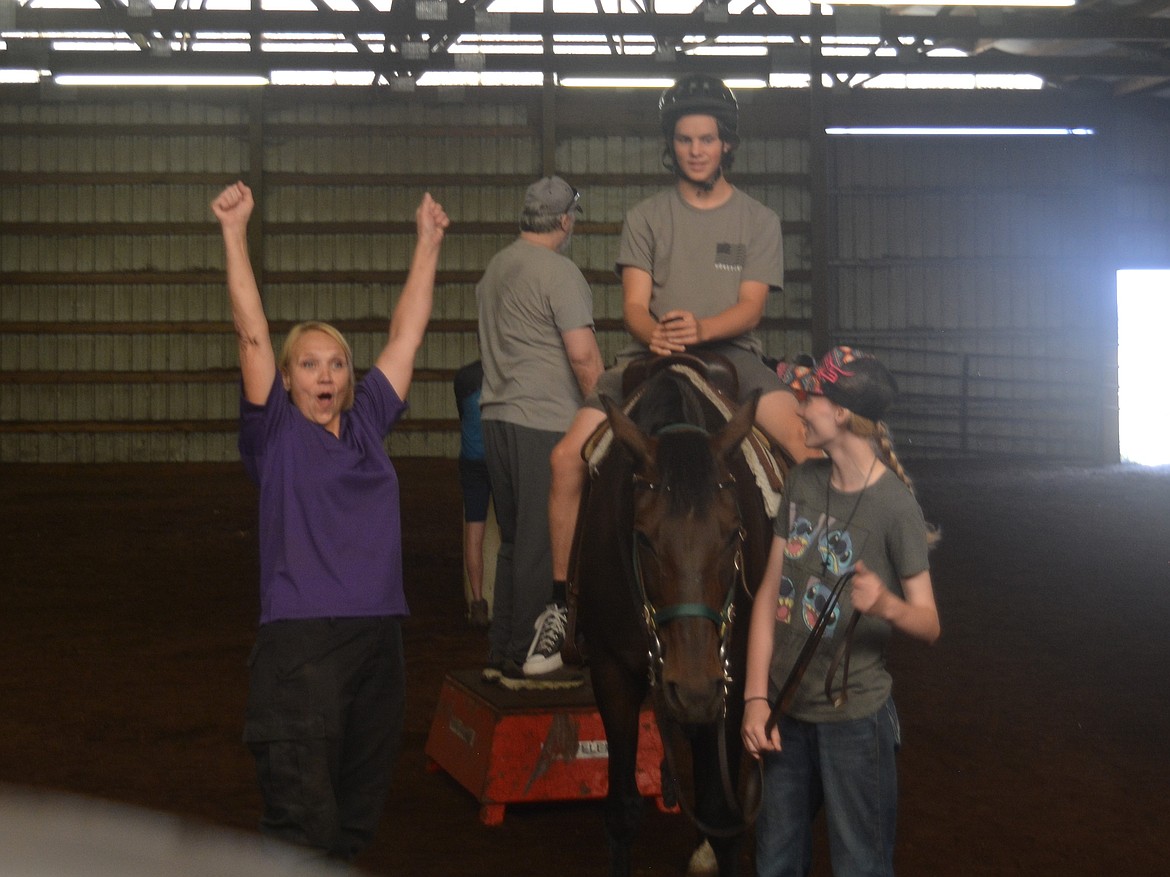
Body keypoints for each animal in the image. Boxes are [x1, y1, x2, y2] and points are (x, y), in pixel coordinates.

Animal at [570, 357, 781, 877]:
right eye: (643, 538)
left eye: (734, 534)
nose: (692, 688)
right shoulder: (611, 669)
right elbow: (622, 810)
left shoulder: (730, 676)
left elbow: (722, 816)